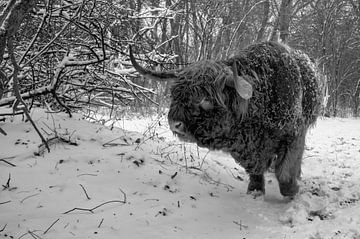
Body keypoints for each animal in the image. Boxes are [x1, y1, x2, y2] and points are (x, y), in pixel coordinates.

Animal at [129, 42, 324, 197]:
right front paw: (255, 191)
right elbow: (255, 170)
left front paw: (292, 190)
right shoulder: (247, 149)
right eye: (174, 94)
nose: (175, 124)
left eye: (206, 99)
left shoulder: (294, 135)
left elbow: (285, 171)